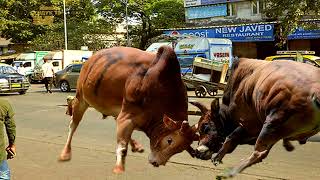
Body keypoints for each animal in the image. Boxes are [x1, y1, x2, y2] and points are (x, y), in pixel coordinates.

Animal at [58, 46, 198, 173]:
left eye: (180, 149)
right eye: (169, 140)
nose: (156, 163)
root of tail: (90, 60)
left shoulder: (128, 116)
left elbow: (124, 137)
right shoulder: (127, 115)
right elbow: (122, 146)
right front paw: (119, 168)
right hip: (81, 98)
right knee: (73, 124)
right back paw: (65, 152)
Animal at [192, 58, 320, 178]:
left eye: (205, 127)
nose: (197, 152)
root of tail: (315, 93)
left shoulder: (250, 124)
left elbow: (230, 138)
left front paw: (217, 157)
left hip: (271, 123)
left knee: (259, 154)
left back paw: (230, 172)